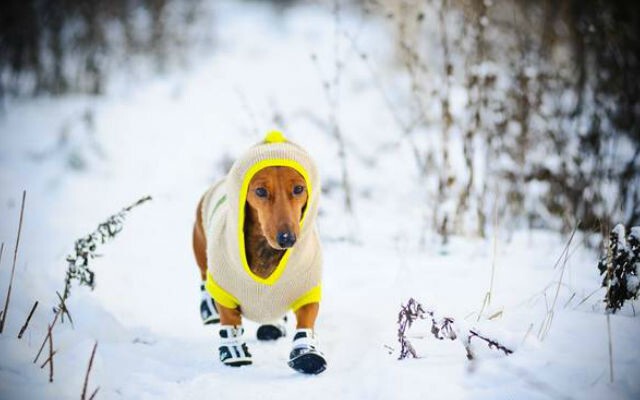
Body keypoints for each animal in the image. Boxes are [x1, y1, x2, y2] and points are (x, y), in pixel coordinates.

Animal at [191, 130, 328, 376]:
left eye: (298, 189)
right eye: (261, 191)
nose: (288, 239)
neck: (266, 251)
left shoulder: (307, 289)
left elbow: (306, 321)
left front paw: (307, 354)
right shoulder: (224, 288)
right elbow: (230, 321)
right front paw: (235, 352)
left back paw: (273, 325)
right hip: (201, 248)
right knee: (204, 277)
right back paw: (209, 309)